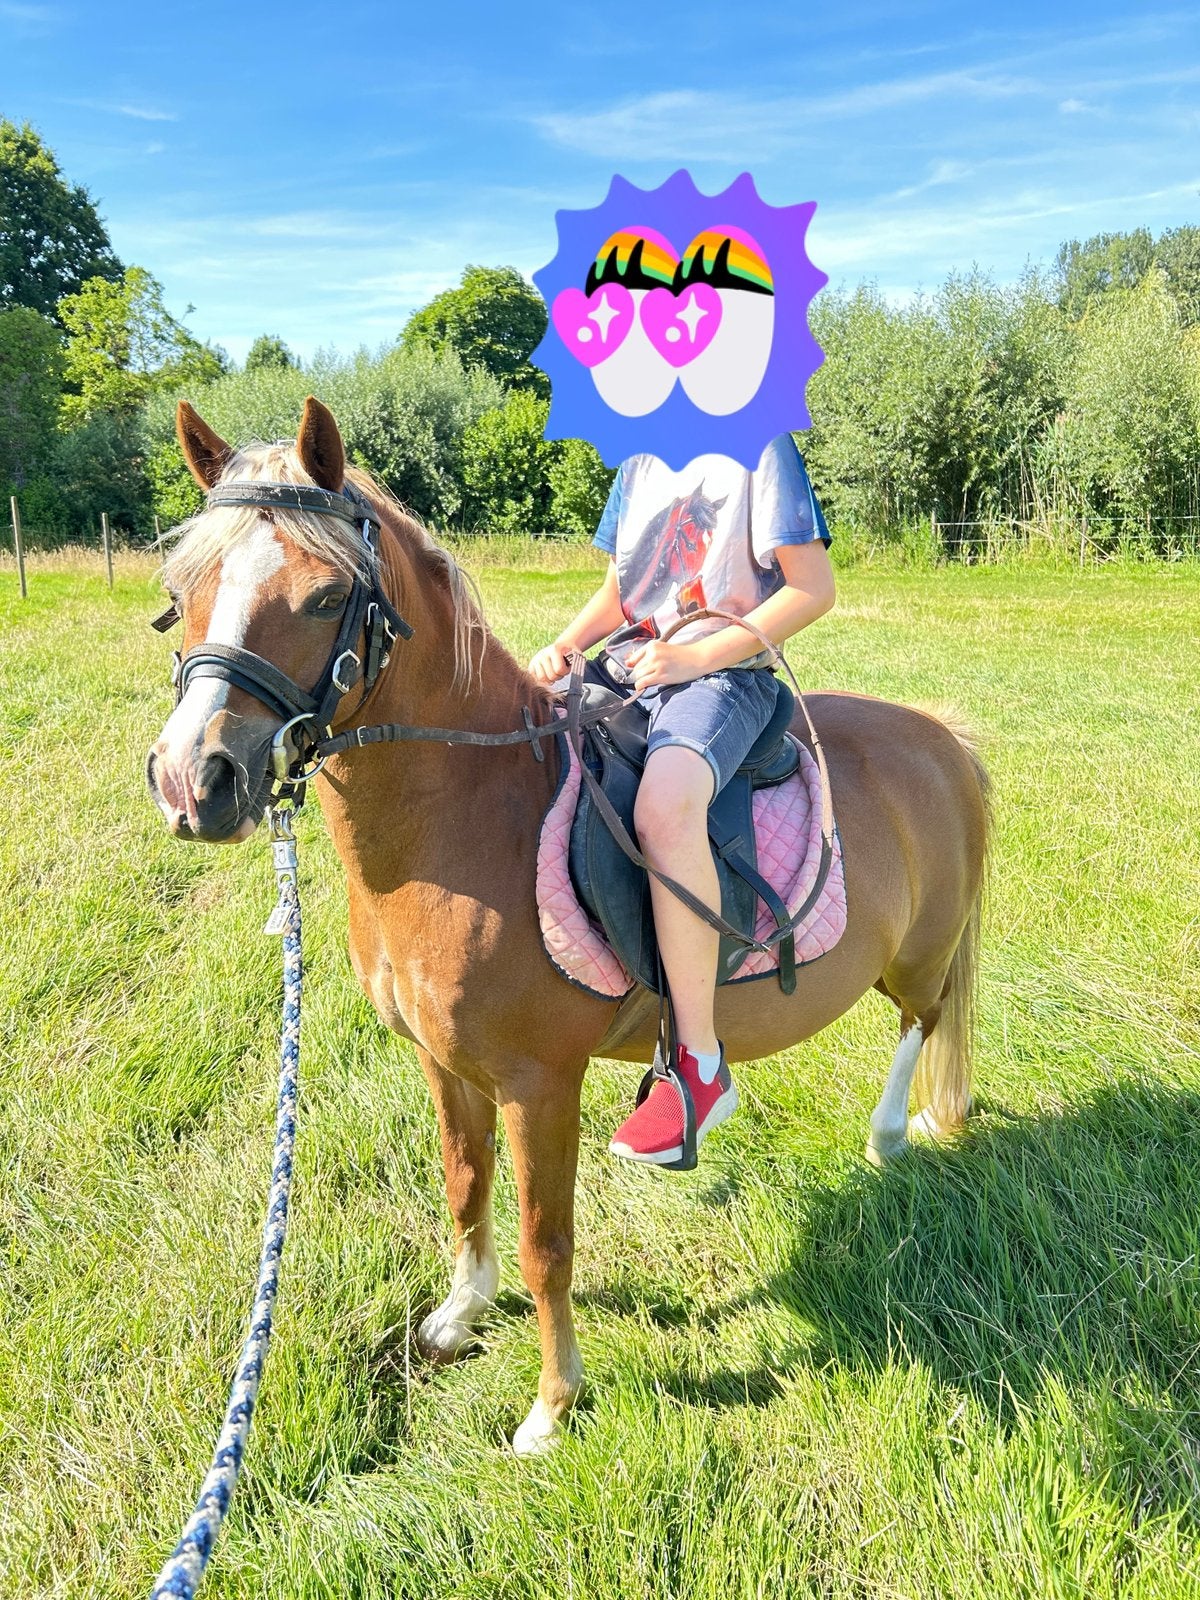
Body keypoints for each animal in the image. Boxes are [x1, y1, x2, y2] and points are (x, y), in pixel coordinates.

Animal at [147, 396, 990, 1457]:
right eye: (179, 587)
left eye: (322, 594)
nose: (193, 781)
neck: (471, 817)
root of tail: (940, 734)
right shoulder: (441, 1061)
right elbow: (463, 1183)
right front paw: (459, 1315)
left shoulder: (539, 1083)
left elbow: (548, 1243)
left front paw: (551, 1406)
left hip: (918, 955)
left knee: (923, 1018)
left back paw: (885, 1135)